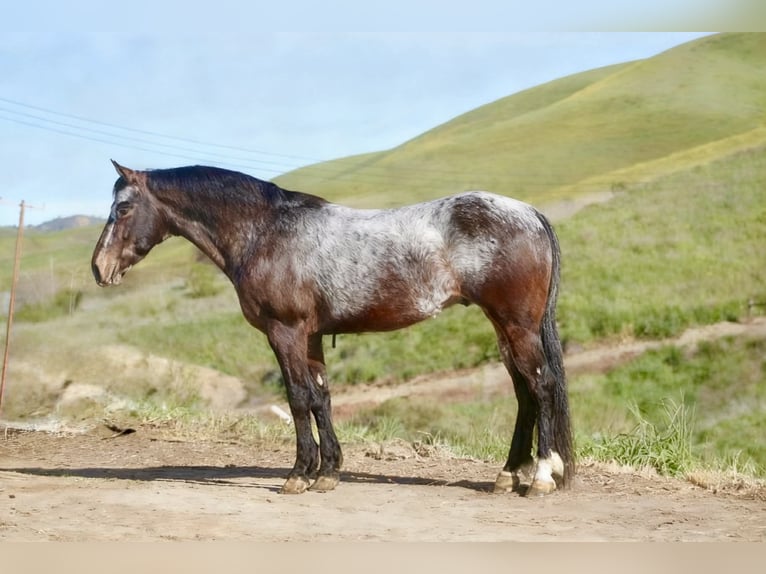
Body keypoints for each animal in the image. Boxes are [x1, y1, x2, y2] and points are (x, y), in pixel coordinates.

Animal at [92, 160, 574, 496]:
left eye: (123, 207)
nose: (99, 268)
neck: (267, 233)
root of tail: (529, 212)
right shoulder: (312, 337)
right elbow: (321, 398)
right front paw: (327, 474)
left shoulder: (284, 332)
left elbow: (298, 399)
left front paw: (298, 475)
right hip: (505, 328)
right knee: (524, 392)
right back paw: (508, 475)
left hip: (516, 325)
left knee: (542, 385)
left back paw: (542, 477)